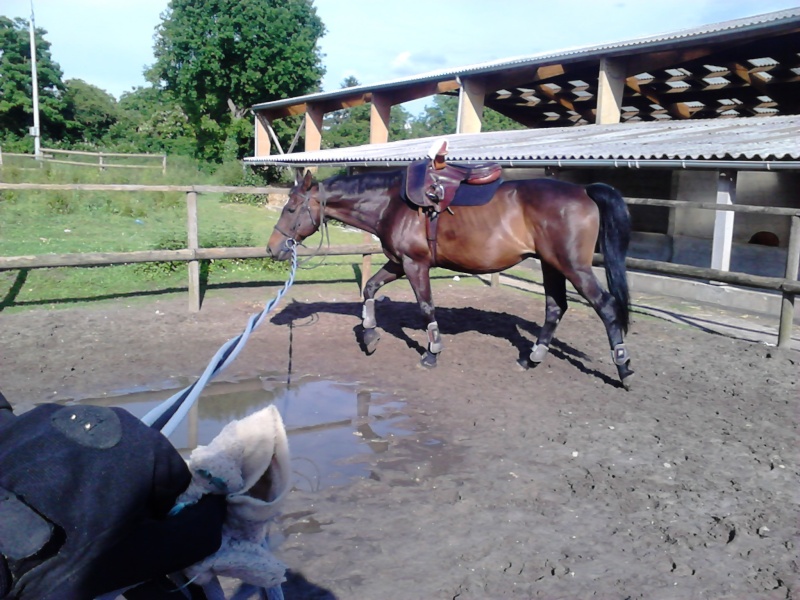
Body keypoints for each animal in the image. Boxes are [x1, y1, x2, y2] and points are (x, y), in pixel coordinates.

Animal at [268, 168, 636, 390]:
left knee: (606, 307)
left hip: (573, 267)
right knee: (555, 307)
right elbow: (370, 287)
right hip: (551, 265)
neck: (392, 204)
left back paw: (623, 369)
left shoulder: (415, 265)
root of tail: (584, 191)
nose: (273, 248)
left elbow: (427, 308)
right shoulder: (398, 263)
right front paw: (370, 335)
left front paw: (432, 353)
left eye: (290, 209)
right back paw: (531, 358)